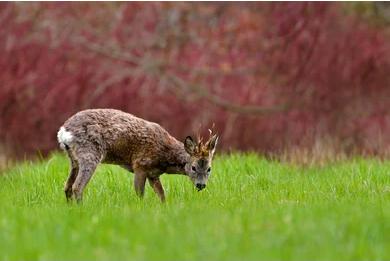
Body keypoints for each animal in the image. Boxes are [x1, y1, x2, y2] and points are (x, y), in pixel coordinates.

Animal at [56, 107, 218, 201]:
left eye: (209, 168)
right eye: (193, 167)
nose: (201, 185)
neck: (165, 158)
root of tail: (63, 131)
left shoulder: (153, 174)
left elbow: (162, 195)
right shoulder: (140, 165)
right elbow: (140, 193)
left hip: (73, 159)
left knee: (67, 186)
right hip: (90, 152)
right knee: (77, 187)